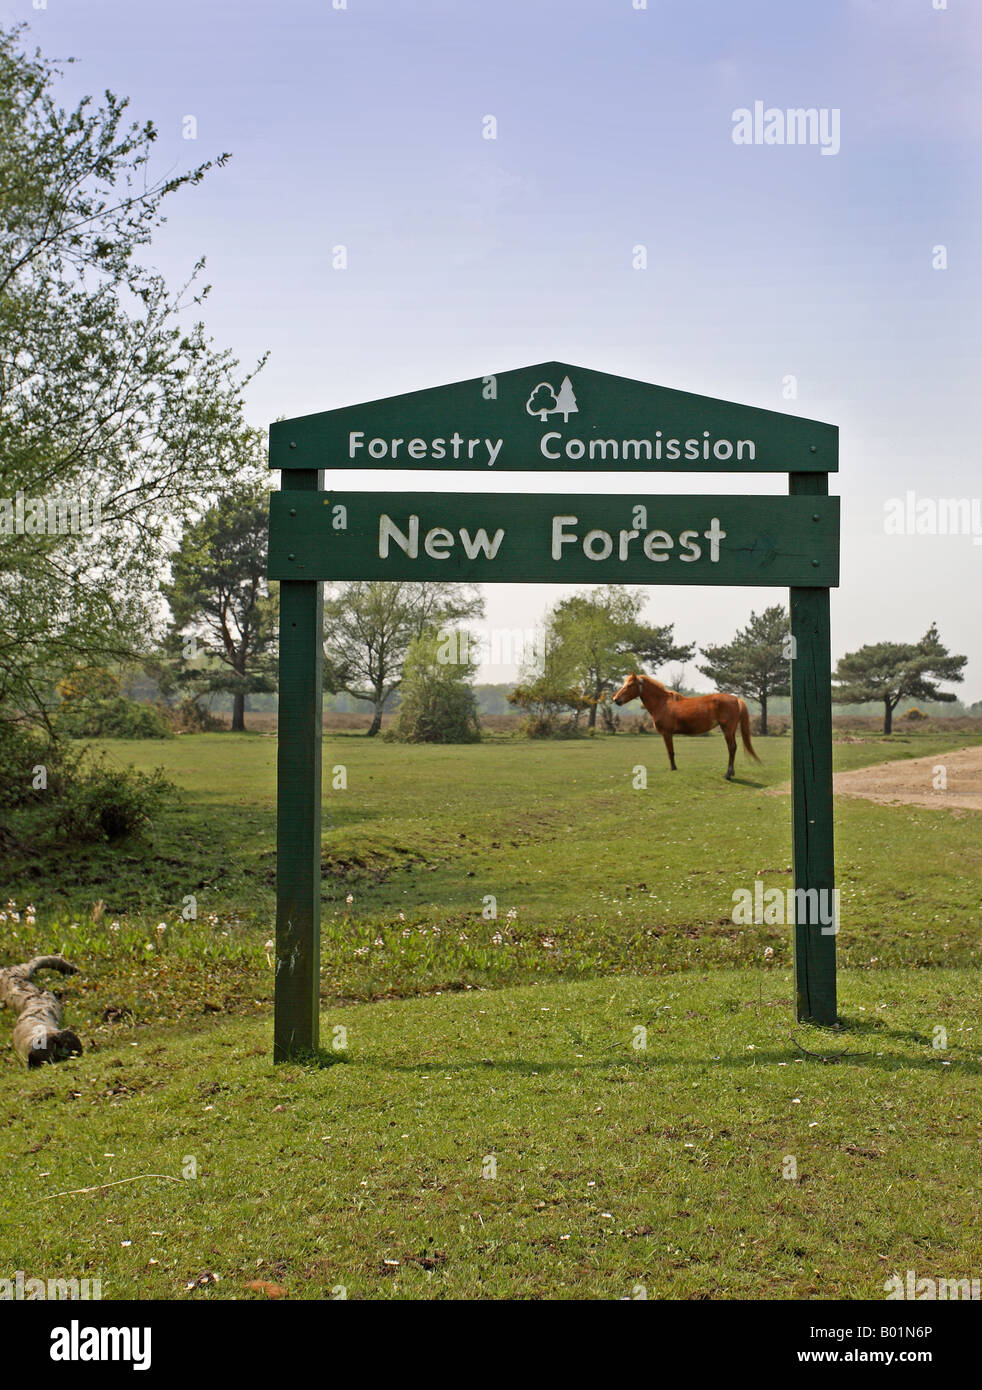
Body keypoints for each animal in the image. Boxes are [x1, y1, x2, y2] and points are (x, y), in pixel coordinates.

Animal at [612, 672, 756, 783]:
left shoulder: (667, 733)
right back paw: (731, 773)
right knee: (733, 748)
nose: (616, 699)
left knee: (731, 748)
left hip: (727, 729)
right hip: (731, 730)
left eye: (630, 685)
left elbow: (670, 752)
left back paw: (728, 774)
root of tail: (736, 699)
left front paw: (673, 768)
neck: (662, 703)